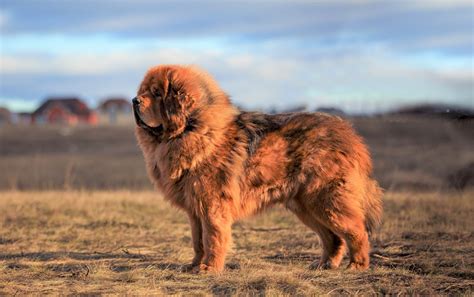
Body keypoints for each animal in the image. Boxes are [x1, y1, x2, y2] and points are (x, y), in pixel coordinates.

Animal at [132, 65, 382, 272]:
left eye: (157, 93)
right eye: (143, 91)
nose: (134, 100)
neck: (192, 129)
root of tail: (349, 134)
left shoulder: (212, 206)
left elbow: (212, 238)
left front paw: (209, 268)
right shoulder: (195, 209)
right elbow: (198, 241)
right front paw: (193, 266)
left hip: (326, 199)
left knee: (357, 231)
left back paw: (357, 265)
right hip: (304, 205)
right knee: (332, 237)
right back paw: (324, 265)